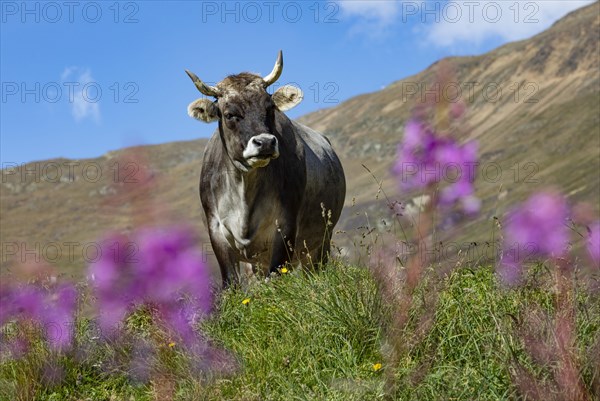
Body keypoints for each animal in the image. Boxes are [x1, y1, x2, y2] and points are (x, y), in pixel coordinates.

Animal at [188, 50, 346, 288]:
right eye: (229, 114)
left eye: (270, 108)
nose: (265, 143)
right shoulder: (215, 229)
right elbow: (231, 283)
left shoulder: (286, 226)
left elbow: (277, 277)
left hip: (320, 242)